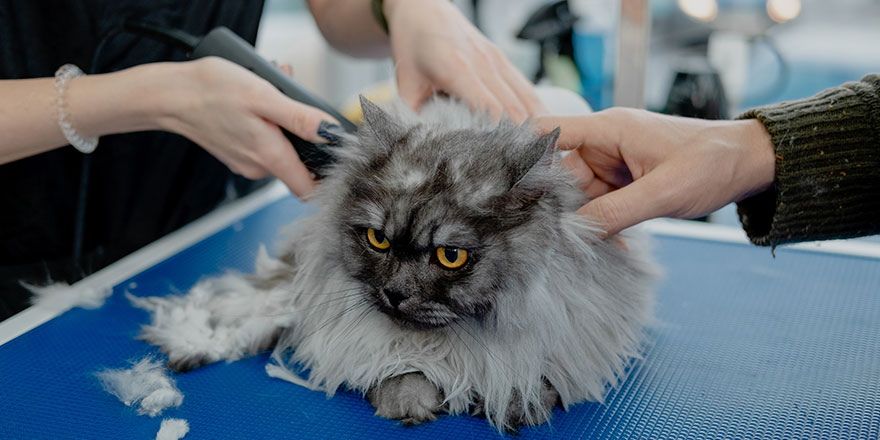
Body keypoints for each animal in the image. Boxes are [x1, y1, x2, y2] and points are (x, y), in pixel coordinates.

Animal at [132, 96, 660, 430]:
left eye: (451, 256)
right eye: (379, 241)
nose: (396, 293)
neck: (462, 340)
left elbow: (530, 370)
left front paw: (516, 399)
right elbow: (396, 365)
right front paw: (408, 400)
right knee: (240, 306)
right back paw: (190, 348)